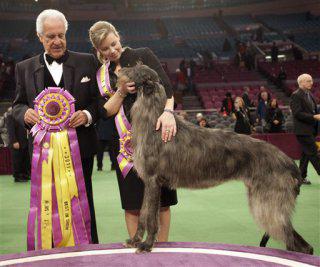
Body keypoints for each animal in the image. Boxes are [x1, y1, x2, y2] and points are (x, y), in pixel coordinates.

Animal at [117, 63, 312, 254]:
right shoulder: (149, 183)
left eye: (134, 68)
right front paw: (135, 240)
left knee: (301, 244)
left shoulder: (153, 180)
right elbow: (143, 214)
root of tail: (290, 163)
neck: (153, 122)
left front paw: (146, 244)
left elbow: (151, 217)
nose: (118, 70)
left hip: (269, 204)